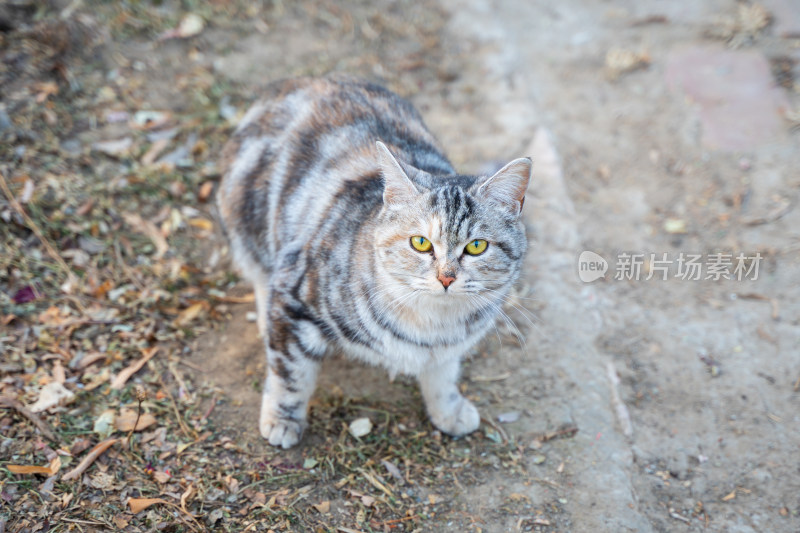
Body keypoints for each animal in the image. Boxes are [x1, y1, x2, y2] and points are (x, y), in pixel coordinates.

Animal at [217, 75, 532, 446]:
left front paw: (449, 411)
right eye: (420, 242)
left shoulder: (450, 347)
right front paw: (282, 419)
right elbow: (290, 374)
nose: (446, 277)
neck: (432, 326)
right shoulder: (295, 286)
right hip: (244, 218)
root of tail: (300, 80)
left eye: (477, 246)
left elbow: (443, 375)